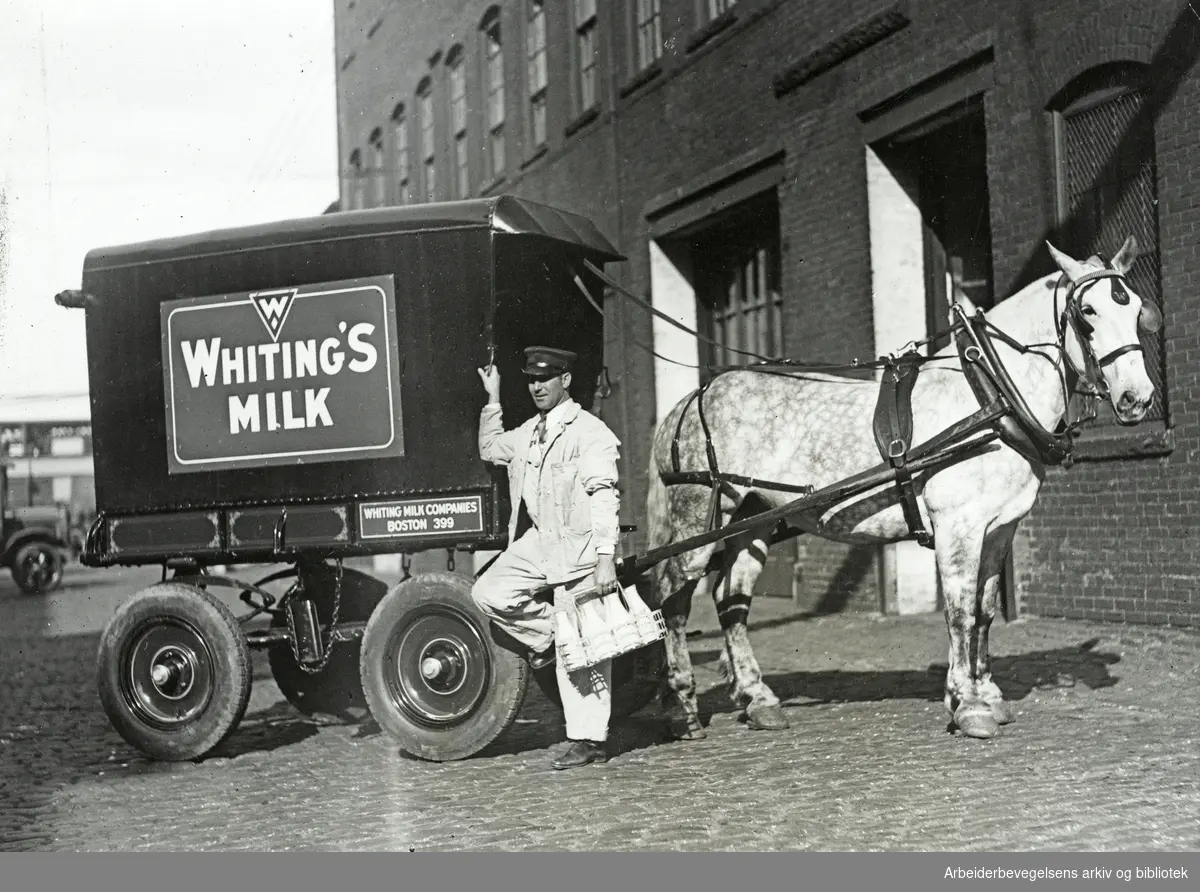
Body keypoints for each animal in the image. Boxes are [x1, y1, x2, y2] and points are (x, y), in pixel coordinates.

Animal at [648, 235, 1161, 739]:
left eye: (1136, 307)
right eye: (1087, 312)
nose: (1137, 399)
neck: (988, 396)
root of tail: (690, 401)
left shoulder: (999, 529)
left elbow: (985, 610)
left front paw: (987, 694)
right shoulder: (958, 527)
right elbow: (959, 611)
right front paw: (968, 705)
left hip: (751, 520)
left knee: (730, 598)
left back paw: (758, 699)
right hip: (699, 519)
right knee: (671, 598)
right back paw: (683, 705)